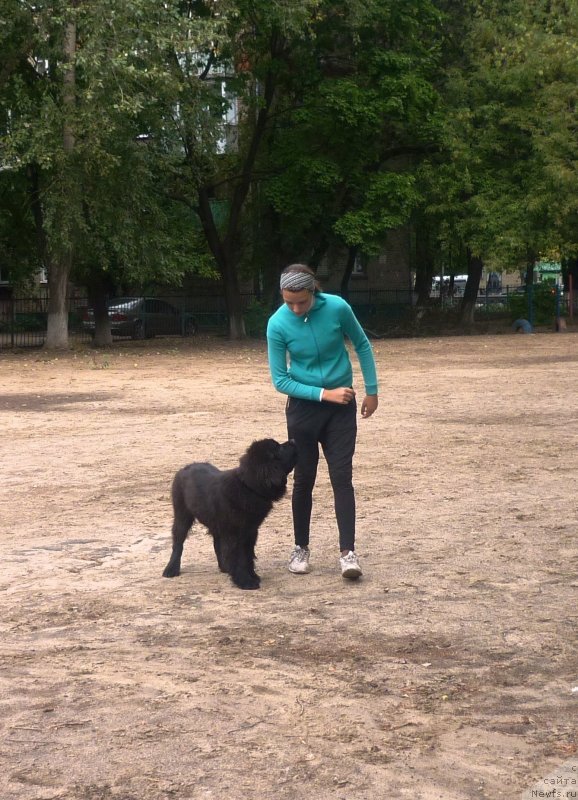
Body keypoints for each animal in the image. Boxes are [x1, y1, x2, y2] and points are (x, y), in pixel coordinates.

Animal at [162, 438, 296, 588]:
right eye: (278, 448)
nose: (293, 440)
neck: (248, 487)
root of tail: (185, 468)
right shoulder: (234, 534)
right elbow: (239, 557)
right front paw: (245, 581)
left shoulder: (250, 531)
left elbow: (248, 556)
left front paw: (252, 576)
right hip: (182, 516)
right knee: (178, 543)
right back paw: (171, 569)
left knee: (216, 544)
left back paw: (225, 567)